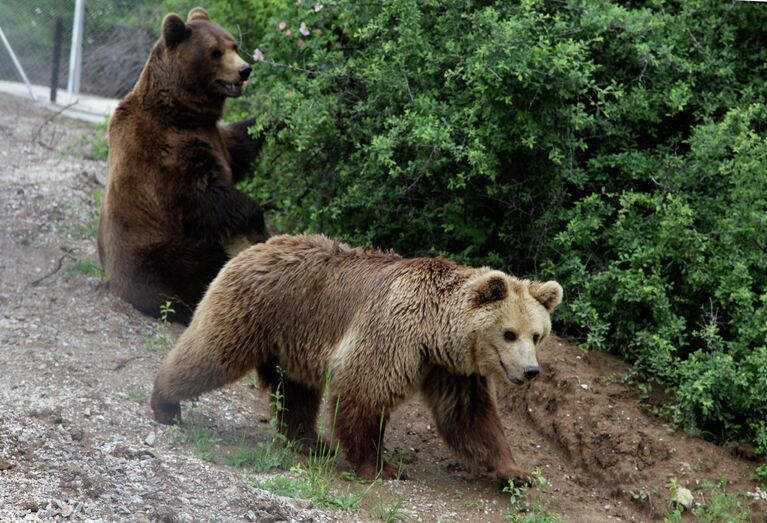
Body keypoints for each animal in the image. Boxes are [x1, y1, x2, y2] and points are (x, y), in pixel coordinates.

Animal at [98, 6, 270, 324]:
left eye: (234, 45)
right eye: (215, 52)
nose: (244, 70)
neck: (182, 111)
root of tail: (117, 288)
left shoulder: (212, 134)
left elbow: (238, 144)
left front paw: (277, 120)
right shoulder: (166, 150)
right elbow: (203, 195)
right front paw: (257, 219)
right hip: (160, 253)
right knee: (200, 269)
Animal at [150, 235, 564, 486]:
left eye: (536, 335)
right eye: (509, 333)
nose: (531, 371)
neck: (434, 332)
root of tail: (257, 245)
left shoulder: (450, 370)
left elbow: (469, 417)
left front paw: (518, 472)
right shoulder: (394, 333)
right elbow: (364, 392)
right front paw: (379, 466)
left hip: (292, 336)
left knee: (298, 390)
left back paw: (311, 442)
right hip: (255, 309)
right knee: (210, 355)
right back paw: (164, 403)